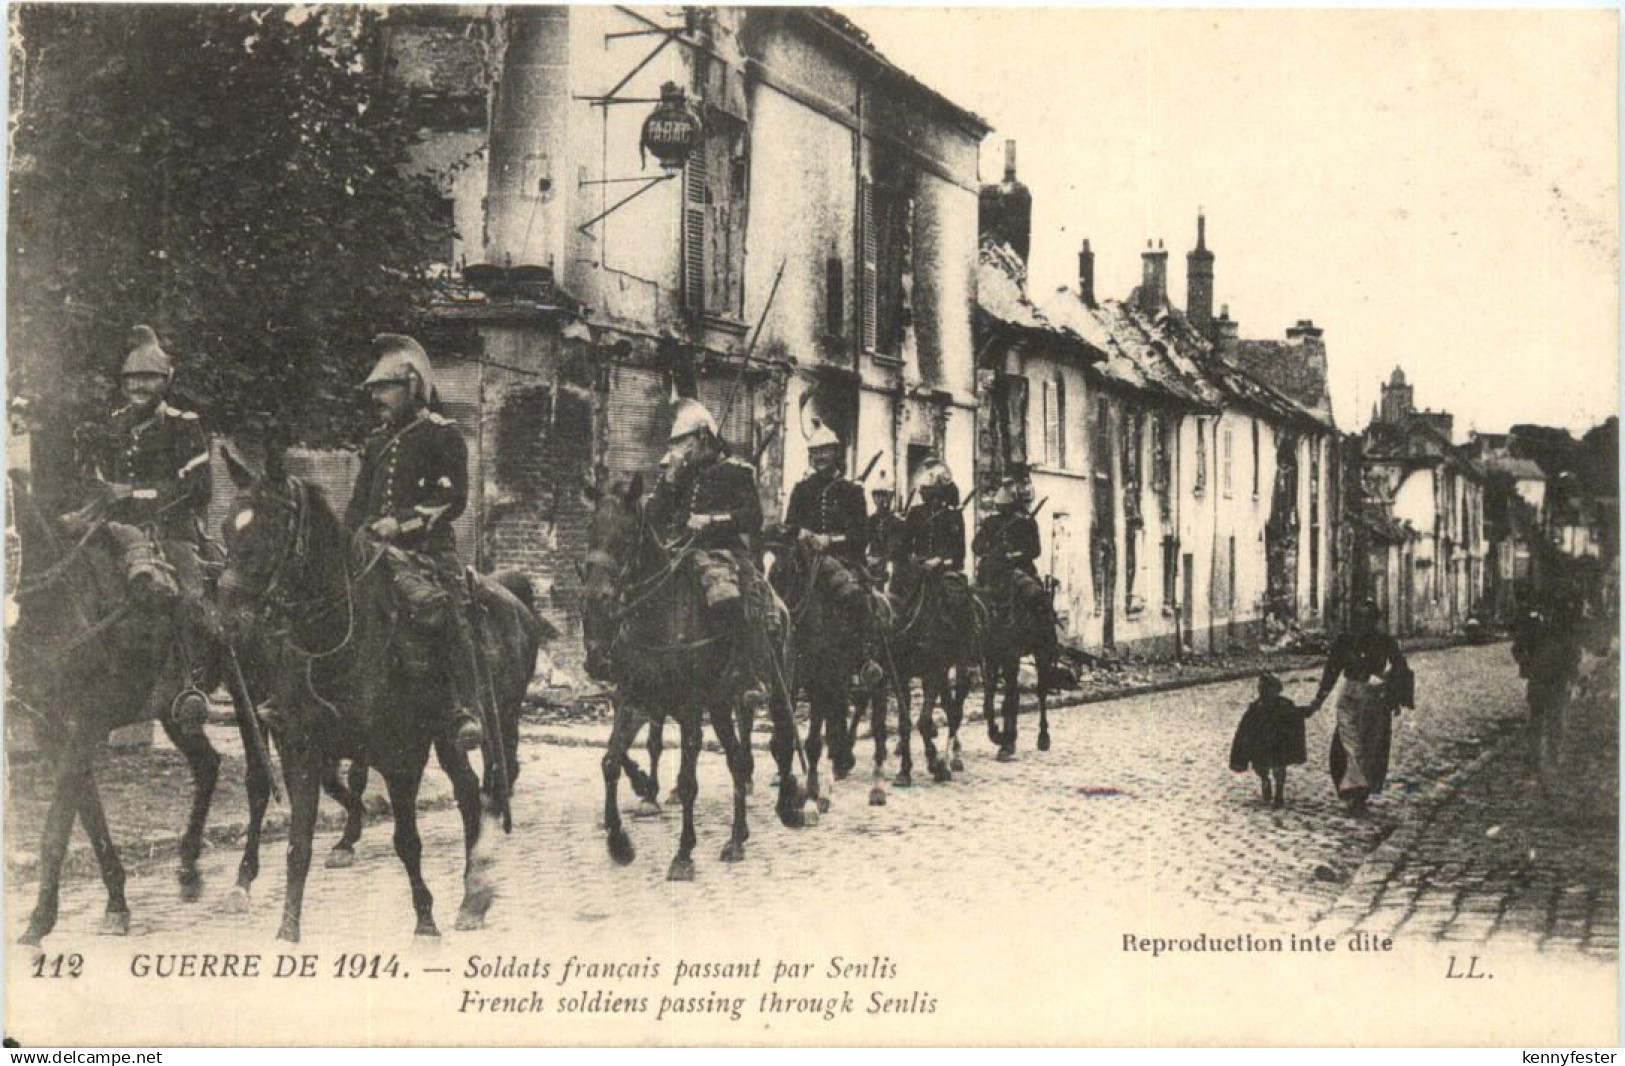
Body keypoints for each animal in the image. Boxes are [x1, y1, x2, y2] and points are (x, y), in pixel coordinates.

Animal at [7, 471, 273, 942]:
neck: (61, 600)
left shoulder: (87, 723)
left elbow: (57, 826)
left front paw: (39, 921)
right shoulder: (51, 728)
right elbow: (89, 814)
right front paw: (116, 901)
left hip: (253, 693)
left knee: (257, 777)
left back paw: (242, 880)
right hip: (174, 709)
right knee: (207, 764)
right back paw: (188, 868)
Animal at [219, 461, 536, 942]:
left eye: (273, 525)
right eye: (225, 526)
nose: (229, 621)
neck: (335, 640)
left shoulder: (401, 754)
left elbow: (406, 840)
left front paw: (425, 921)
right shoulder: (300, 746)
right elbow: (298, 841)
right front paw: (287, 930)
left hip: (464, 727)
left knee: (475, 789)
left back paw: (473, 896)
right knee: (467, 789)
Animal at [585, 477, 812, 884]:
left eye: (626, 534)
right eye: (591, 529)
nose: (596, 597)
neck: (658, 616)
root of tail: (781, 607)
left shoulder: (689, 710)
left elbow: (689, 782)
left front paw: (683, 855)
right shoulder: (632, 699)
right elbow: (611, 760)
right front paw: (619, 843)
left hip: (773, 692)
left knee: (782, 743)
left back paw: (790, 806)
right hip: (720, 706)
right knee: (737, 761)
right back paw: (737, 839)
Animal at [851, 565, 988, 799]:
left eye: (966, 596)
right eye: (949, 595)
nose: (976, 630)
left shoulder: (931, 674)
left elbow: (923, 720)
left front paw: (936, 763)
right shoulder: (902, 676)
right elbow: (905, 722)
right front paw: (905, 771)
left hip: (955, 668)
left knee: (955, 711)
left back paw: (952, 759)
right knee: (949, 706)